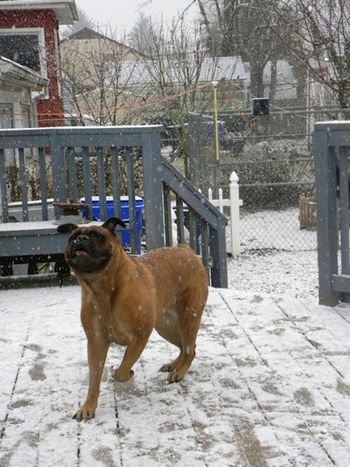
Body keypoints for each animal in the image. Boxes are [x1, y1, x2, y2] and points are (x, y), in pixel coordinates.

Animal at [57, 218, 208, 422]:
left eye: (97, 235)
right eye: (72, 237)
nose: (81, 238)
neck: (103, 289)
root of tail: (186, 250)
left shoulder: (139, 336)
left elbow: (123, 368)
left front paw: (127, 373)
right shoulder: (96, 342)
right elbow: (94, 377)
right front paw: (88, 406)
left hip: (189, 316)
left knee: (190, 348)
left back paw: (179, 371)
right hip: (165, 326)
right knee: (184, 346)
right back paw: (173, 365)